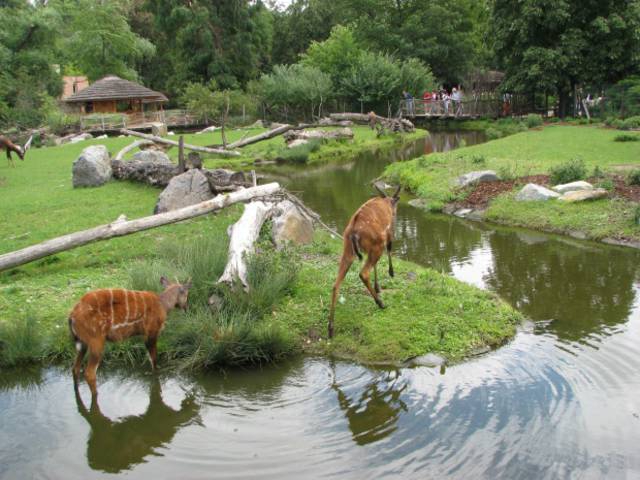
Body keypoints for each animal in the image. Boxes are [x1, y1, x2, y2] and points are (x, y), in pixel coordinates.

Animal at [328, 183, 402, 338]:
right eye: (395, 210)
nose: (395, 215)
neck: (387, 202)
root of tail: (353, 233)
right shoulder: (388, 233)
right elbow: (389, 250)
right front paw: (391, 273)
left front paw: (378, 286)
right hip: (377, 244)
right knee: (363, 272)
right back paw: (381, 303)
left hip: (347, 249)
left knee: (336, 284)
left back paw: (330, 328)